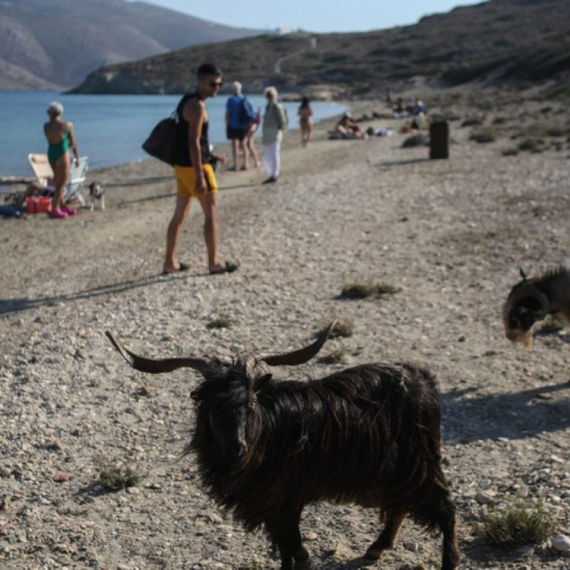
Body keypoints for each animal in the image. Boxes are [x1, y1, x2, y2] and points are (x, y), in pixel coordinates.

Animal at [106, 324, 460, 568]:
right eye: (212, 408)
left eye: (250, 402)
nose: (238, 448)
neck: (267, 433)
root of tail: (424, 379)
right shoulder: (273, 507)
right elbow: (286, 551)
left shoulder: (286, 499)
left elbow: (297, 553)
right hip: (396, 467)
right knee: (400, 504)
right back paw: (376, 548)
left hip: (419, 458)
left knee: (443, 506)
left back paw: (448, 560)